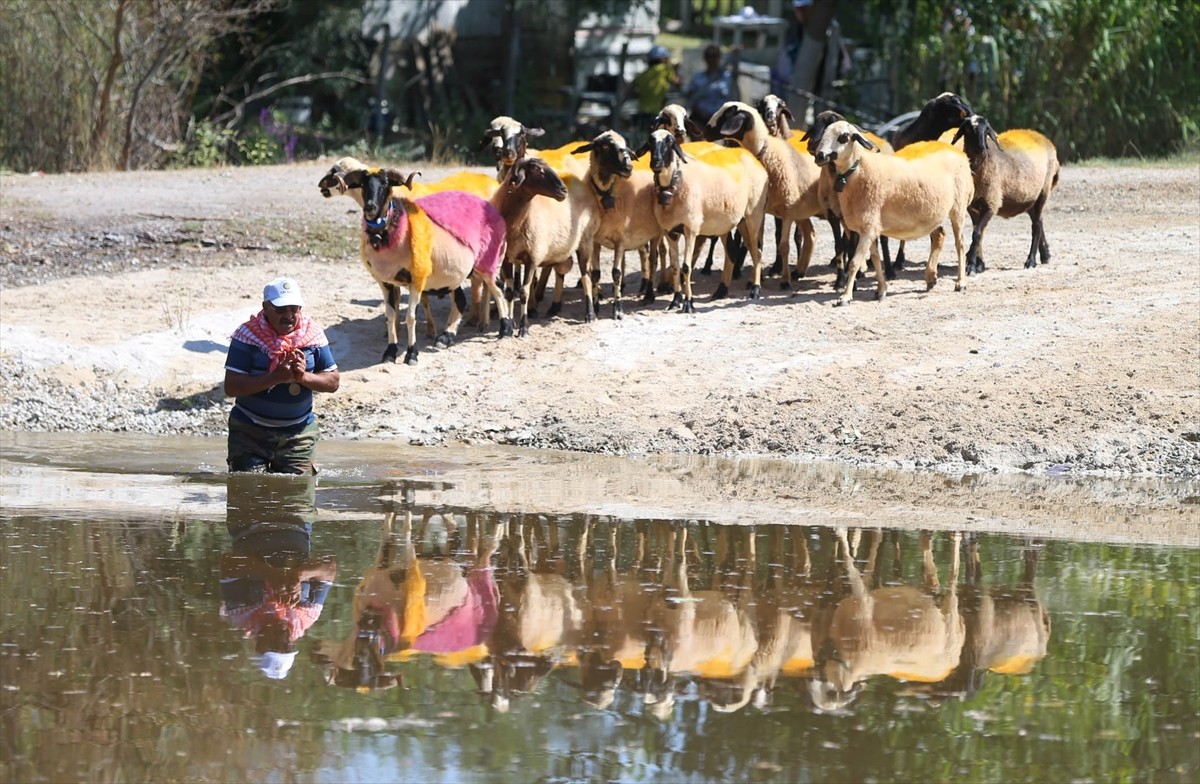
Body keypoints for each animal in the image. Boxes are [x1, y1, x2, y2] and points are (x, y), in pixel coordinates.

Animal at [324, 165, 511, 364]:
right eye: (363, 185)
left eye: (385, 184)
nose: (370, 208)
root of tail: (493, 210)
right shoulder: (386, 282)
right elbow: (391, 317)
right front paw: (390, 352)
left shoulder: (417, 279)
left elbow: (411, 317)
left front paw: (411, 353)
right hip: (455, 274)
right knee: (461, 300)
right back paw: (446, 337)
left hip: (487, 261)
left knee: (498, 289)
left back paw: (505, 329)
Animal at [628, 128, 768, 312]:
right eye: (650, 142)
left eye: (669, 142)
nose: (655, 162)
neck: (675, 183)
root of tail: (753, 159)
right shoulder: (670, 231)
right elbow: (675, 266)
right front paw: (675, 300)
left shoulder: (691, 229)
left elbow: (686, 267)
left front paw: (688, 303)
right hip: (732, 222)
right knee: (733, 251)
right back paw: (721, 290)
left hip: (753, 215)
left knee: (756, 252)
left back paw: (755, 290)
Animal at [945, 112, 1060, 272]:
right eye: (967, 129)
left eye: (987, 130)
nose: (982, 148)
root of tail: (1046, 140)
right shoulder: (973, 208)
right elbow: (979, 234)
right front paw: (979, 264)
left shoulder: (991, 203)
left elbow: (977, 233)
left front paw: (972, 266)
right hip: (1030, 199)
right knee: (1039, 221)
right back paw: (1045, 256)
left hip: (1043, 192)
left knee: (1036, 226)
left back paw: (1031, 261)